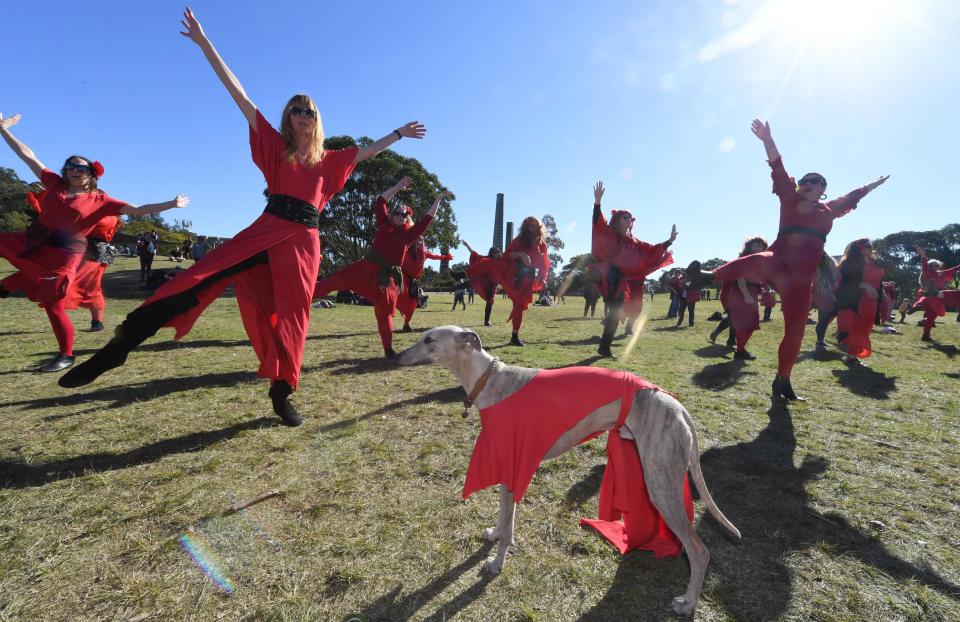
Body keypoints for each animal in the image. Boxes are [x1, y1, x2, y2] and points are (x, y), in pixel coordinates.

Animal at [394, 326, 740, 620]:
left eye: (428, 339)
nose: (395, 357)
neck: (490, 380)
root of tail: (677, 405)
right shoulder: (511, 468)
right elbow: (505, 518)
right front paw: (494, 536)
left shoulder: (514, 464)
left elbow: (508, 526)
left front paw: (496, 563)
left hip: (661, 486)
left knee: (699, 551)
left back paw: (687, 602)